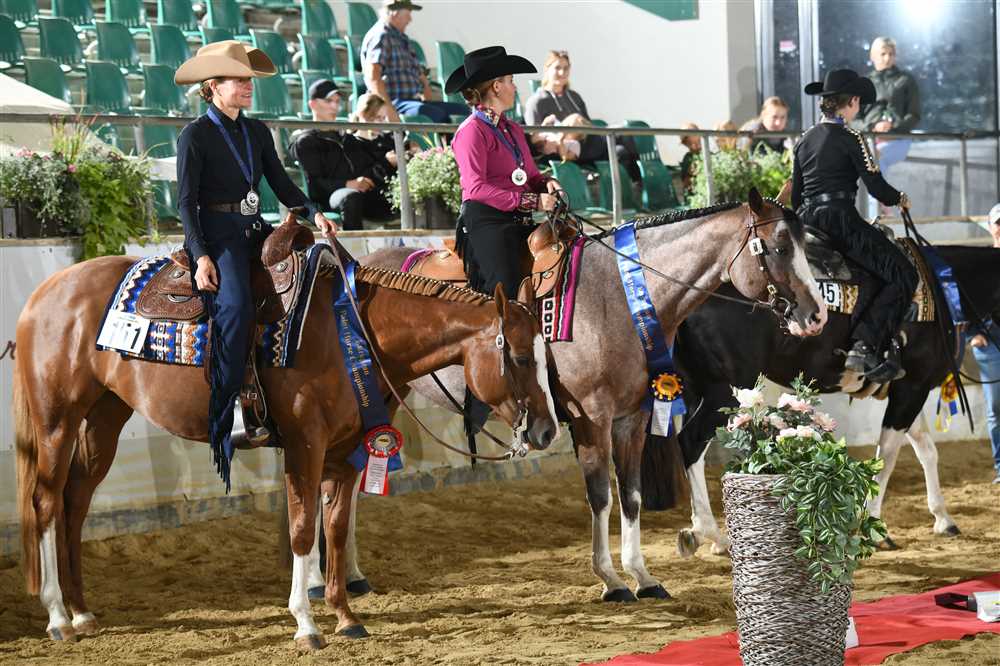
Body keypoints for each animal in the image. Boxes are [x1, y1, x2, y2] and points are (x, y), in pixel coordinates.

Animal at [14, 246, 559, 651]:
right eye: (521, 356)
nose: (547, 431)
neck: (350, 333)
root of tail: (47, 292)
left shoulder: (347, 451)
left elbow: (334, 528)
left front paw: (345, 615)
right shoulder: (305, 446)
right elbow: (302, 528)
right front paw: (306, 623)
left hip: (104, 417)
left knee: (75, 503)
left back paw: (82, 612)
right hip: (57, 421)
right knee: (46, 502)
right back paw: (57, 616)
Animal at [345, 189, 828, 602]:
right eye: (779, 248)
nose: (817, 316)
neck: (616, 297)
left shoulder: (632, 417)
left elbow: (630, 494)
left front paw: (643, 575)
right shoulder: (591, 418)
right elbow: (601, 496)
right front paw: (611, 580)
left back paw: (351, 576)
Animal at [671, 242, 1000, 555]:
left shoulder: (906, 389)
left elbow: (926, 450)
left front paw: (943, 519)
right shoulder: (913, 388)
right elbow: (888, 457)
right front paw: (875, 529)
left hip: (696, 389)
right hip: (723, 390)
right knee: (691, 442)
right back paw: (711, 534)